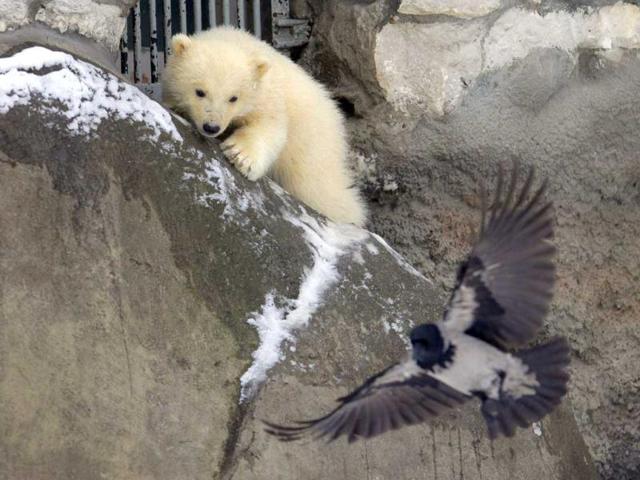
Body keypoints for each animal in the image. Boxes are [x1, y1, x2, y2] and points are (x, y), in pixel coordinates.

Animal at [162, 27, 367, 227]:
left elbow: (270, 127)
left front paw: (240, 156)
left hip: (313, 150)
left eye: (233, 98)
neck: (236, 40)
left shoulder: (268, 96)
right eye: (200, 92)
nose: (211, 127)